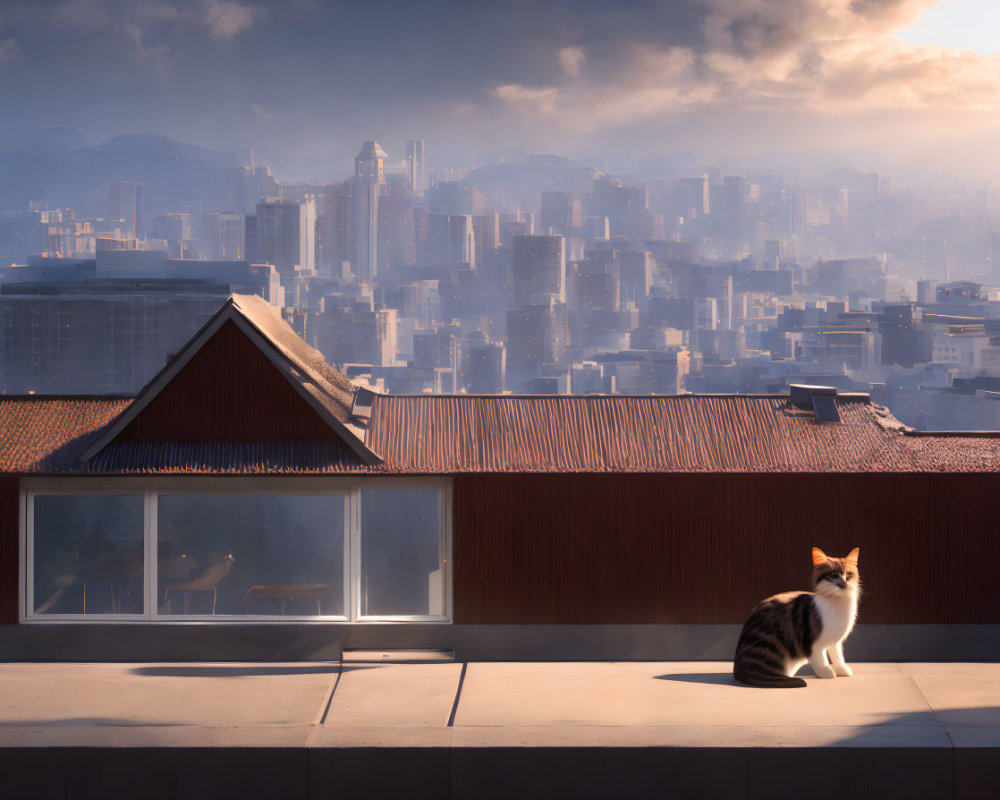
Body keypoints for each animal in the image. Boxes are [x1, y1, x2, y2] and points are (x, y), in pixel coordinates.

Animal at [732, 548, 864, 692]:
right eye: (833, 575)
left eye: (849, 574)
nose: (844, 583)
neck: (838, 603)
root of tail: (737, 670)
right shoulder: (812, 641)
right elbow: (820, 659)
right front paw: (826, 672)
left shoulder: (836, 641)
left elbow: (838, 655)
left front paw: (842, 669)